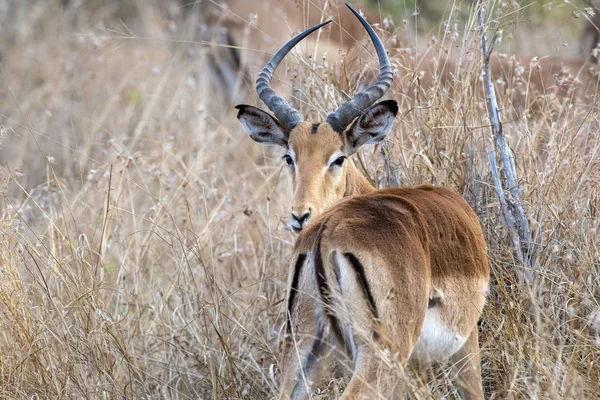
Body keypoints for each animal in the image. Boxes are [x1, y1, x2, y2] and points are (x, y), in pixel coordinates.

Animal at [233, 3, 488, 400]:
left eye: (338, 158)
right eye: (289, 157)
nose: (300, 216)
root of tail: (324, 235)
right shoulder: (466, 342)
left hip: (303, 347)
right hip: (381, 353)